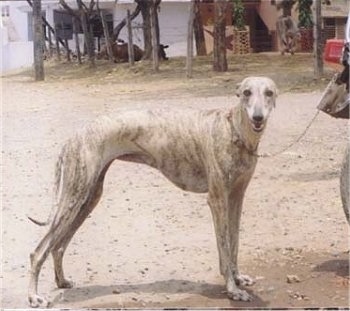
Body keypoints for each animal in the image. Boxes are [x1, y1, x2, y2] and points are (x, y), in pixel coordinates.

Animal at [28, 77, 278, 308]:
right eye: (246, 92)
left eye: (269, 92)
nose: (258, 118)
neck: (234, 131)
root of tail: (74, 137)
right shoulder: (217, 200)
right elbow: (224, 248)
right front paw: (232, 290)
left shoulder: (236, 197)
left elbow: (234, 243)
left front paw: (238, 278)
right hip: (73, 199)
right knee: (39, 251)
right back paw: (33, 296)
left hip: (88, 198)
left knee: (58, 246)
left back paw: (62, 281)